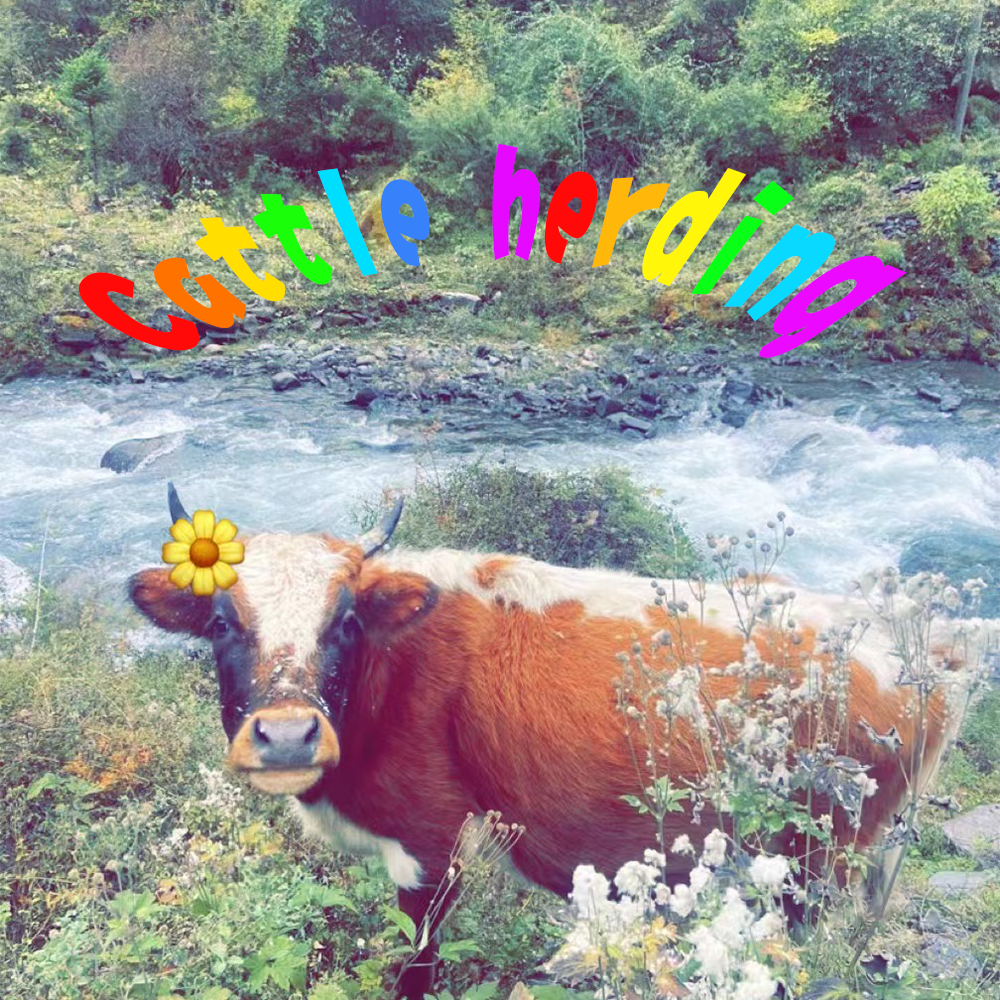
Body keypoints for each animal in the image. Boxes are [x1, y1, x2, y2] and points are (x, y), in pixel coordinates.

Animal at [129, 485, 968, 999]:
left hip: (820, 864)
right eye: (220, 621)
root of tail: (925, 644)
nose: (287, 736)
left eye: (344, 621)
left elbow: (415, 964)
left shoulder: (431, 842)